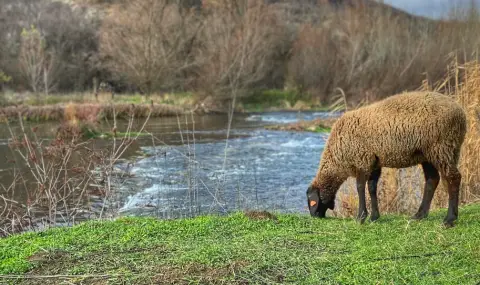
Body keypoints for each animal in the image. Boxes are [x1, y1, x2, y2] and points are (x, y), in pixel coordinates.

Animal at [306, 91, 466, 226]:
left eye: (312, 202)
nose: (315, 217)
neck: (337, 159)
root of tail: (461, 114)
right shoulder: (374, 162)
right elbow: (372, 188)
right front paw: (374, 217)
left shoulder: (362, 160)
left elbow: (360, 187)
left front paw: (361, 217)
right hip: (429, 154)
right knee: (432, 180)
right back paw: (419, 215)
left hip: (442, 147)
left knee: (453, 178)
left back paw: (449, 219)